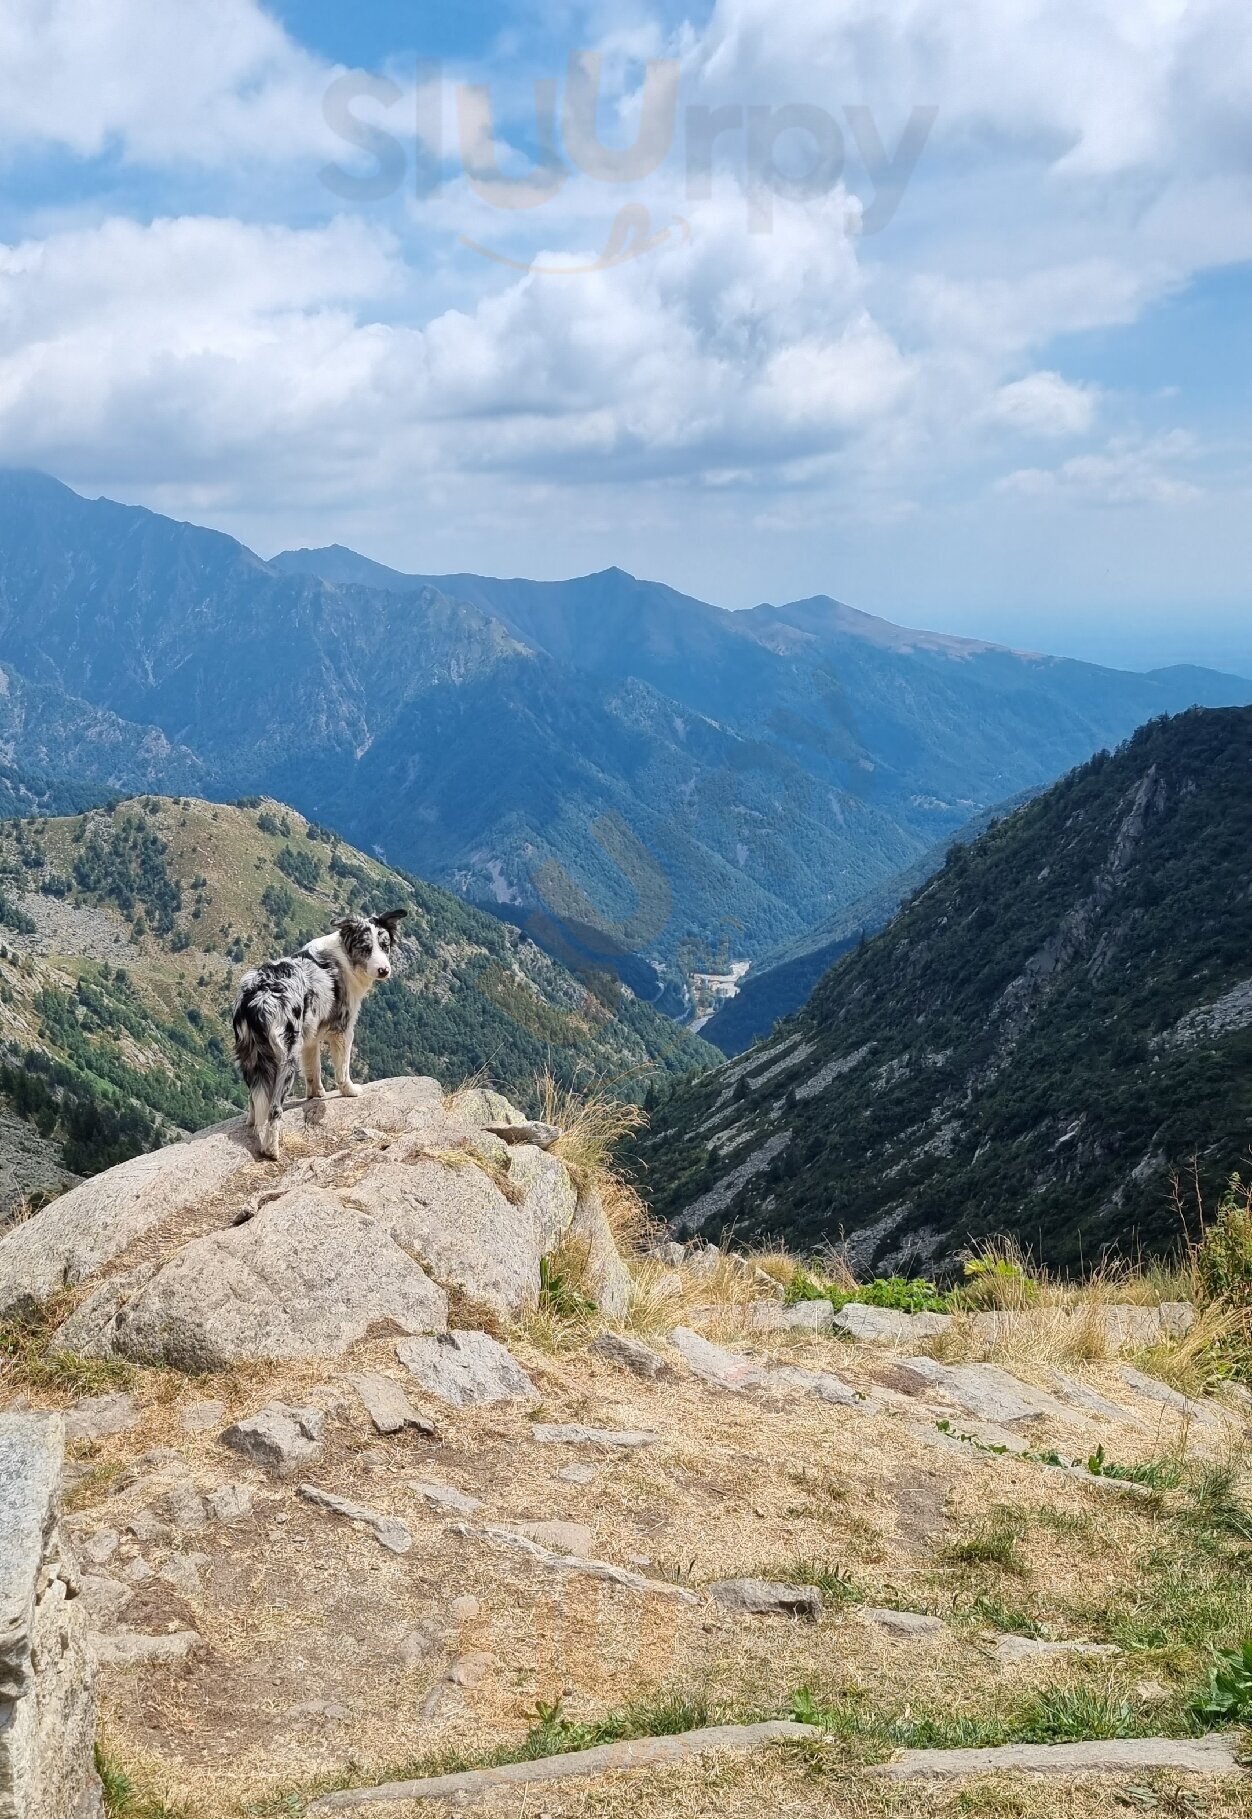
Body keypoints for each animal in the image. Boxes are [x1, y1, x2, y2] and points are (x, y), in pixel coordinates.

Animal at [232, 916, 407, 1156]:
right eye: (365, 948)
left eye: (385, 945)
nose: (383, 970)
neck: (344, 957)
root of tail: (258, 997)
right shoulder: (343, 1030)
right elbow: (343, 1070)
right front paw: (350, 1090)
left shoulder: (310, 1037)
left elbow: (313, 1070)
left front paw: (316, 1094)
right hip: (286, 1058)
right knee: (274, 1108)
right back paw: (272, 1150)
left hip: (251, 1054)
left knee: (254, 1097)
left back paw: (251, 1122)